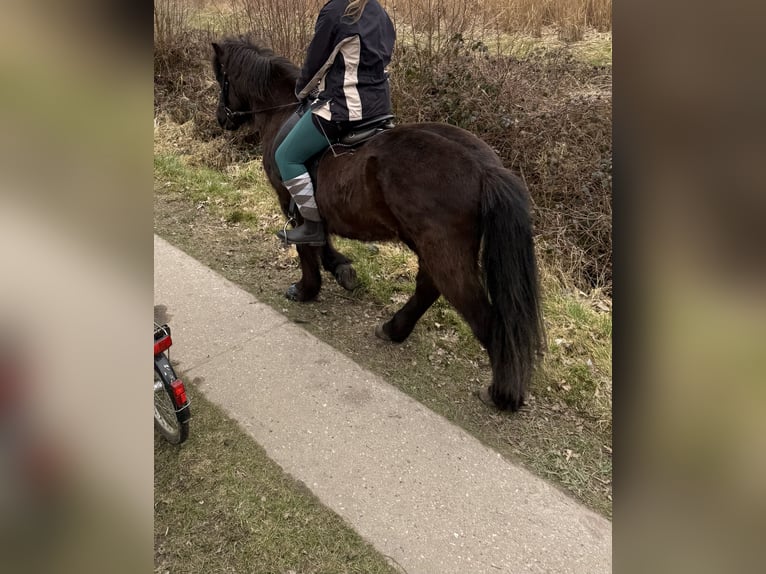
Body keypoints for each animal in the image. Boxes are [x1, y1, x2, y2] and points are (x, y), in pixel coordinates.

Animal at [211, 37, 544, 411]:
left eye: (222, 77)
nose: (222, 118)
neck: (281, 111)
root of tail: (485, 168)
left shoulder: (289, 202)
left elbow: (307, 244)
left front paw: (307, 289)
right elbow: (321, 239)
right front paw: (342, 270)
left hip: (443, 248)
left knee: (480, 315)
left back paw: (502, 393)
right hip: (427, 243)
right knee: (428, 286)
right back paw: (394, 329)